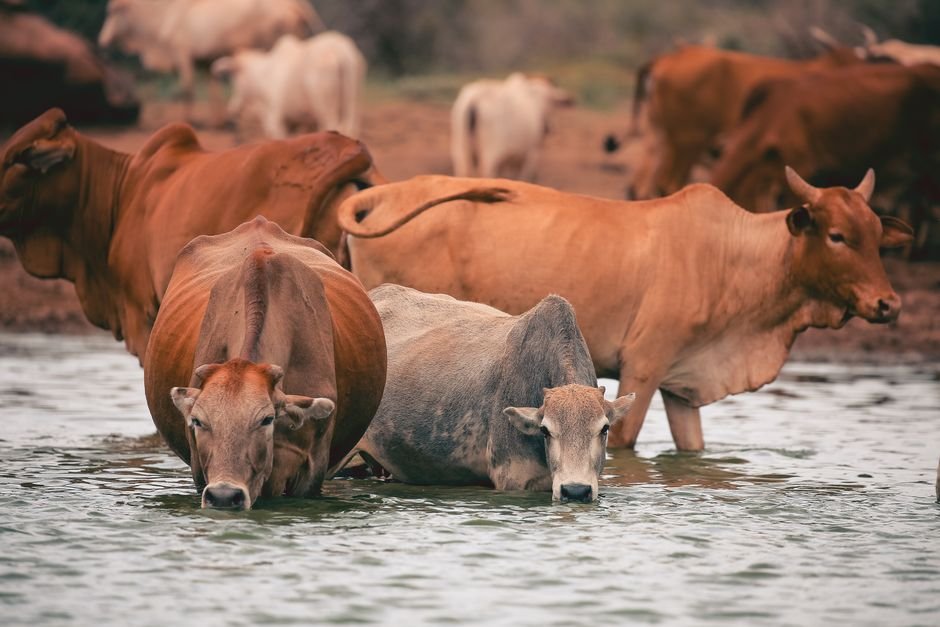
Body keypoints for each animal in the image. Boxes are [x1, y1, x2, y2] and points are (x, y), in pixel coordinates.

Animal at [98, 0, 323, 120]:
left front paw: (188, 120)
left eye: (112, 13)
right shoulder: (206, 62)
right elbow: (213, 91)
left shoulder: (183, 56)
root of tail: (293, 4)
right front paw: (217, 122)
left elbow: (186, 91)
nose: (102, 40)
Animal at [211, 31, 366, 139]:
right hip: (352, 102)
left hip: (325, 107)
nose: (233, 109)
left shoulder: (275, 120)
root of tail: (341, 51)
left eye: (234, 77)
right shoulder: (302, 123)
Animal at [336, 171, 913, 452]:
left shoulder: (682, 388)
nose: (888, 304)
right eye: (836, 236)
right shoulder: (644, 366)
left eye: (876, 233)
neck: (732, 258)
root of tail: (385, 194)